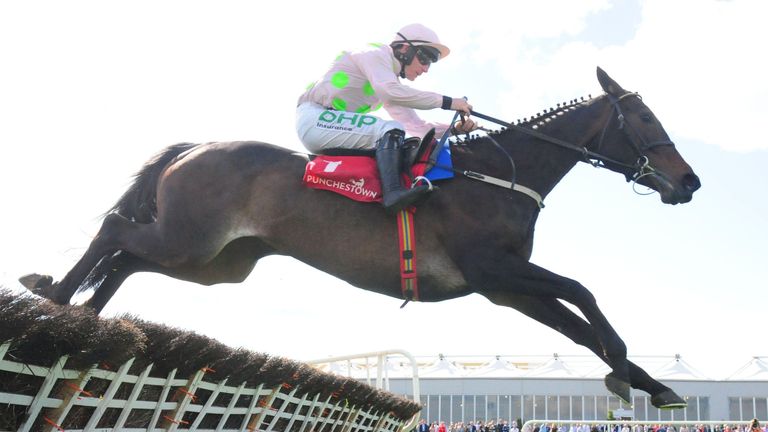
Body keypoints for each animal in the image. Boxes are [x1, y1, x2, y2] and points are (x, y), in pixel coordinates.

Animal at [24, 67, 701, 409]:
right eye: (645, 118)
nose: (689, 181)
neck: (501, 173)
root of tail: (196, 147)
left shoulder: (505, 288)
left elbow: (577, 324)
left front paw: (650, 382)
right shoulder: (493, 272)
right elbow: (583, 294)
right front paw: (633, 374)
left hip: (215, 260)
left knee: (126, 258)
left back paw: (91, 314)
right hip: (190, 239)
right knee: (116, 232)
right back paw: (56, 296)